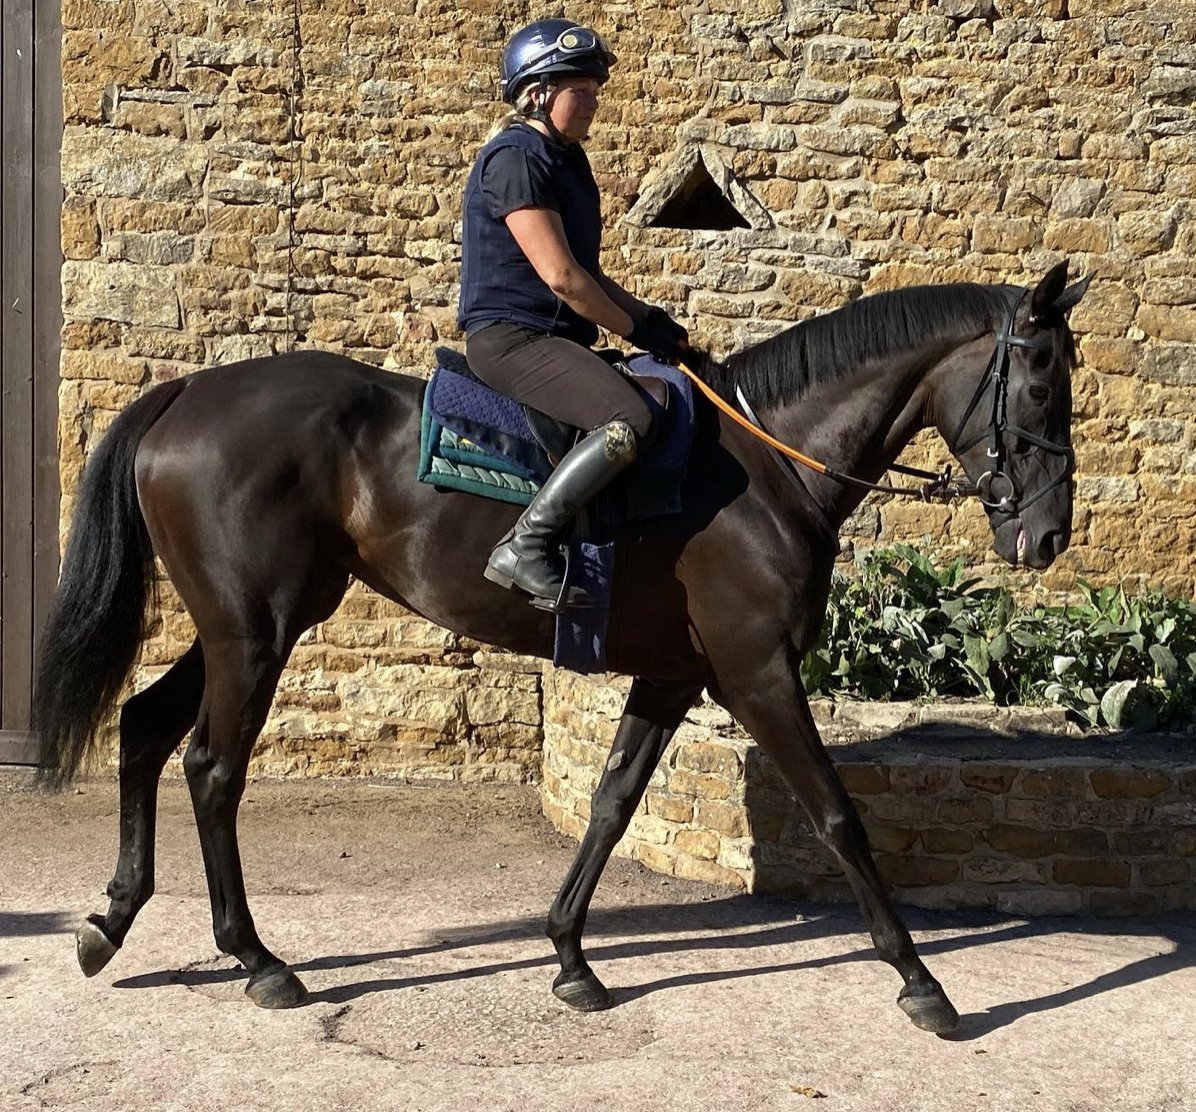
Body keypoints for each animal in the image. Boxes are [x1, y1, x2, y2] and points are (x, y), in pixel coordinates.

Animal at [34, 260, 1088, 1034]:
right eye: (1042, 381)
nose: (1046, 537)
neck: (766, 467)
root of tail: (185, 394)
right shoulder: (757, 673)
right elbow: (838, 816)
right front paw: (921, 982)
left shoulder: (672, 676)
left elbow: (612, 806)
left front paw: (570, 955)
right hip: (254, 632)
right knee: (212, 768)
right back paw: (256, 958)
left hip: (245, 627)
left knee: (145, 729)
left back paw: (112, 920)